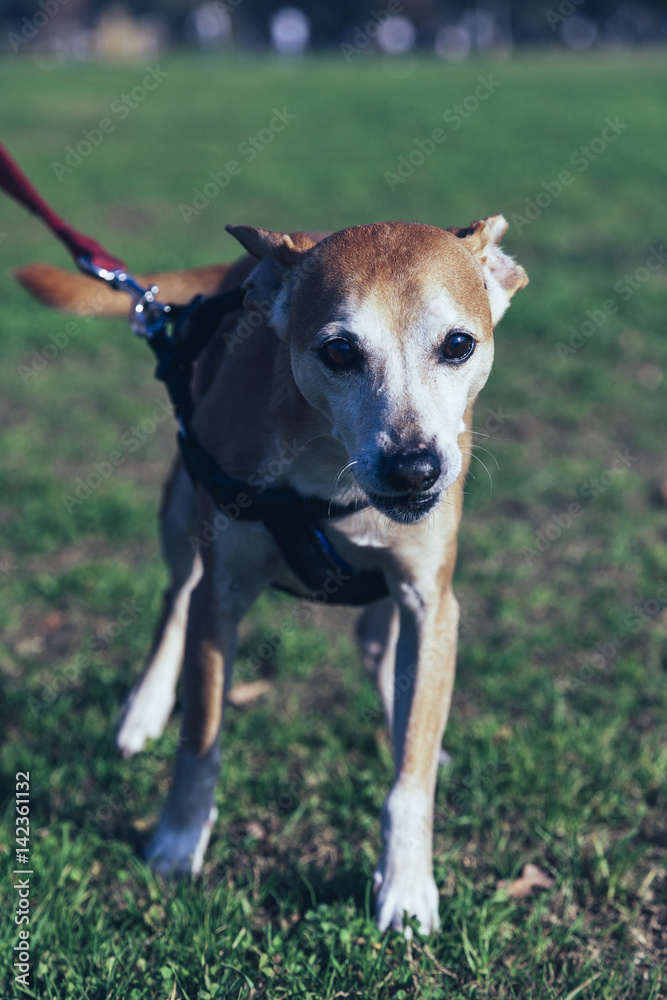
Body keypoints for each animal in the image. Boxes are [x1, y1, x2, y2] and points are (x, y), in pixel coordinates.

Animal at [14, 215, 528, 932]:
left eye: (457, 344)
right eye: (339, 351)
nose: (414, 469)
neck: (330, 467)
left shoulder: (429, 598)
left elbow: (410, 774)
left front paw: (406, 885)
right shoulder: (223, 592)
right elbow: (201, 740)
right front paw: (177, 844)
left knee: (378, 647)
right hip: (181, 510)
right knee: (176, 598)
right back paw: (143, 710)